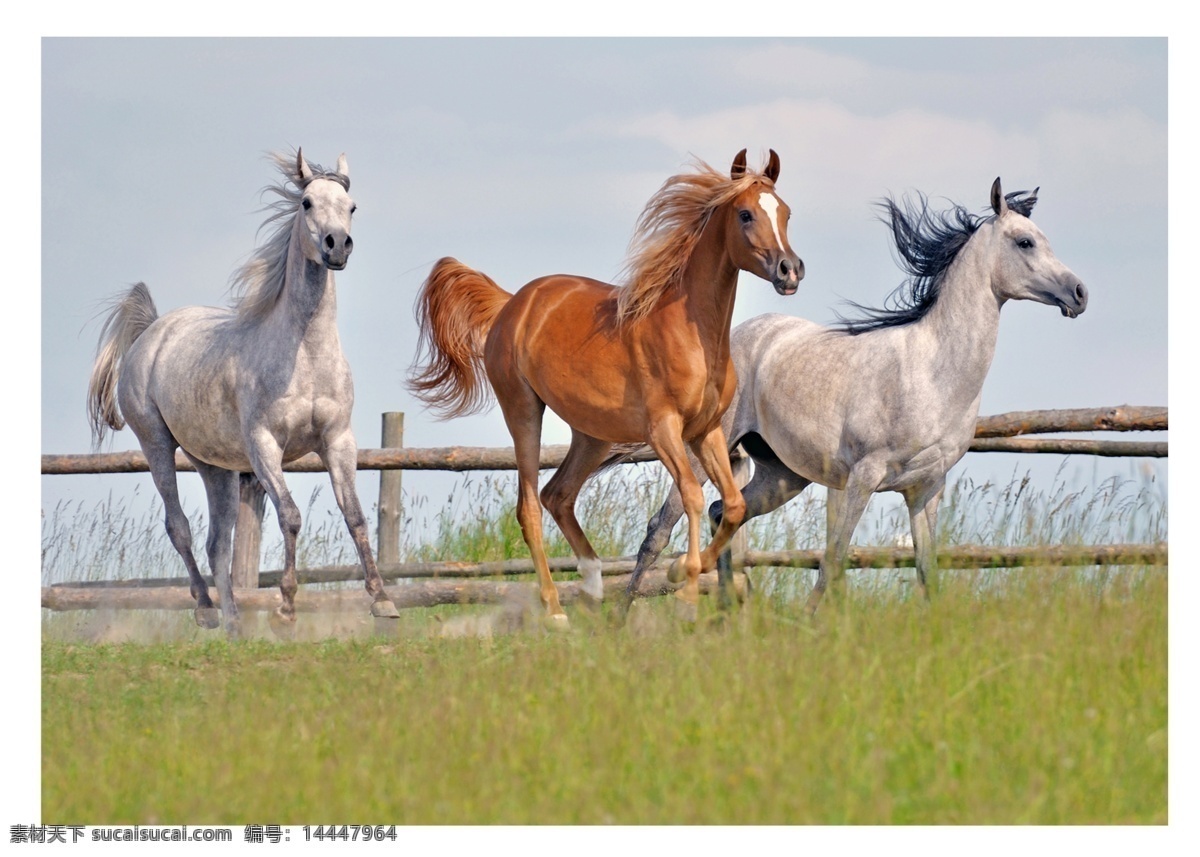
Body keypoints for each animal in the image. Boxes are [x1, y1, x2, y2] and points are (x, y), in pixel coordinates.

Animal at [90, 148, 398, 633]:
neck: (304, 353)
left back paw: (235, 626)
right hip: (156, 445)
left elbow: (355, 516)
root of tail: (152, 332)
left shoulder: (338, 441)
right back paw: (206, 610)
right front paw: (286, 607)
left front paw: (382, 601)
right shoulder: (264, 445)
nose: (337, 246)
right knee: (179, 526)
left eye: (351, 207)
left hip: (214, 466)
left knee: (218, 541)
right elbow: (290, 516)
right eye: (307, 202)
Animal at [408, 150, 801, 624]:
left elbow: (733, 504)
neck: (690, 332)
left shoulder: (707, 431)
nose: (790, 271)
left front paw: (680, 572)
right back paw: (555, 610)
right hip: (523, 410)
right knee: (529, 507)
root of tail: (511, 304)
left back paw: (594, 588)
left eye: (786, 212)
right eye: (745, 214)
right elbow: (691, 494)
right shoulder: (664, 430)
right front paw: (686, 589)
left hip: (592, 434)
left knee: (557, 494)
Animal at [628, 175, 1089, 614]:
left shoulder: (926, 488)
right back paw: (623, 614)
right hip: (703, 451)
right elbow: (833, 561)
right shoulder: (861, 479)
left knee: (723, 512)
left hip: (782, 476)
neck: (932, 373)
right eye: (1025, 241)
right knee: (659, 528)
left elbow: (927, 571)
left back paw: (726, 614)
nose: (1080, 293)